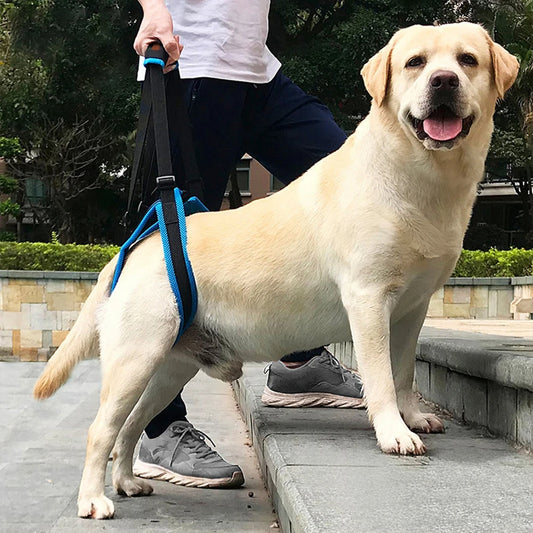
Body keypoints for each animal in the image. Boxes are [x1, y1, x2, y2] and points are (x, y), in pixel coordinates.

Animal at [32, 22, 516, 516]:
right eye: (415, 62)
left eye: (467, 60)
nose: (444, 81)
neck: (419, 177)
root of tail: (138, 246)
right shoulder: (368, 299)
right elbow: (381, 376)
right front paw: (394, 432)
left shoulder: (412, 309)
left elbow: (404, 372)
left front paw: (414, 415)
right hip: (137, 356)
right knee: (101, 430)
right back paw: (94, 499)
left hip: (169, 368)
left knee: (129, 427)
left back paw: (128, 481)